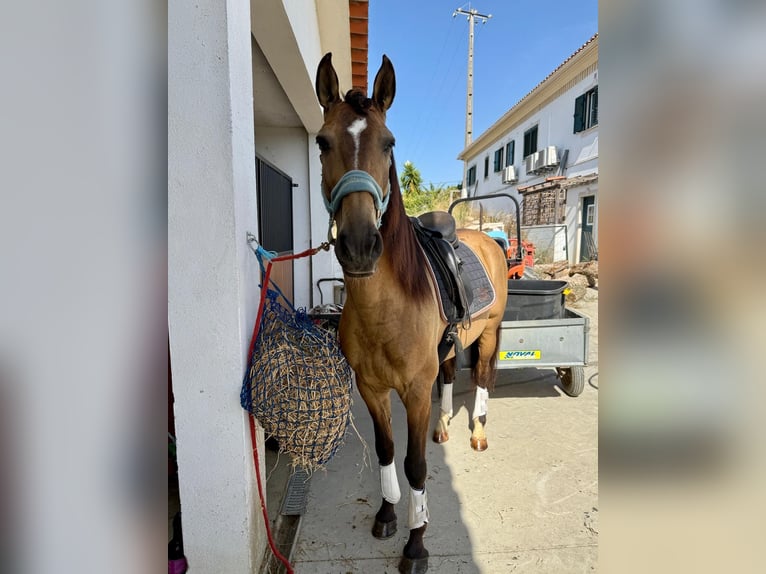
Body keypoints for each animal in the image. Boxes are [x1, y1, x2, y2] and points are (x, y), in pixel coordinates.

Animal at [315, 52, 508, 574]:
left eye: (389, 143)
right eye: (322, 142)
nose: (360, 245)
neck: (385, 310)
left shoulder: (414, 392)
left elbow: (415, 464)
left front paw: (416, 542)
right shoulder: (372, 388)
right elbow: (385, 452)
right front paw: (386, 513)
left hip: (489, 334)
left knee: (483, 376)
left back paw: (477, 433)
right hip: (452, 345)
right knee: (450, 373)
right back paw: (444, 427)